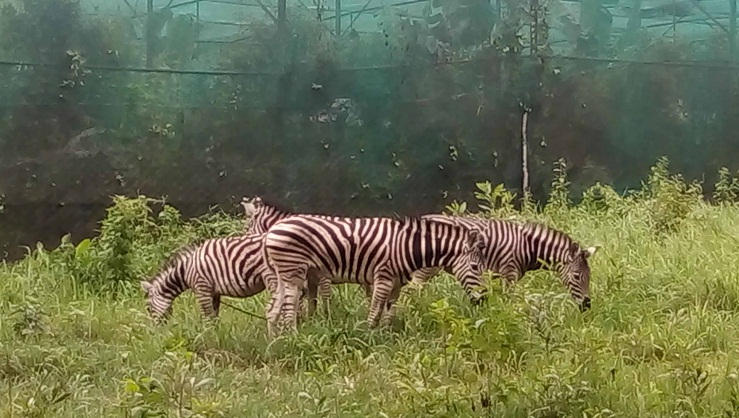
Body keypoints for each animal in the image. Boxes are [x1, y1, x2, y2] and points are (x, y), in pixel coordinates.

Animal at [139, 233, 320, 324]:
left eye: (148, 308)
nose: (156, 332)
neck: (186, 270)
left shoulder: (202, 287)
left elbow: (207, 316)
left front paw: (209, 336)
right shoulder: (214, 292)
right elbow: (214, 315)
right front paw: (215, 334)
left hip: (273, 276)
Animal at [261, 215, 488, 337]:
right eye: (475, 267)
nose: (484, 300)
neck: (406, 246)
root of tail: (272, 230)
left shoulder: (397, 283)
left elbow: (389, 312)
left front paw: (386, 336)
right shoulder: (383, 277)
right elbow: (375, 310)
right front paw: (368, 335)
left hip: (282, 273)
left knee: (272, 309)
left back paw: (275, 342)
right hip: (294, 271)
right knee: (289, 307)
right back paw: (292, 336)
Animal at [409, 214, 599, 312]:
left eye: (589, 276)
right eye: (577, 276)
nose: (587, 306)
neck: (529, 247)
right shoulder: (509, 273)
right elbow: (509, 300)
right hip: (428, 267)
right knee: (416, 286)